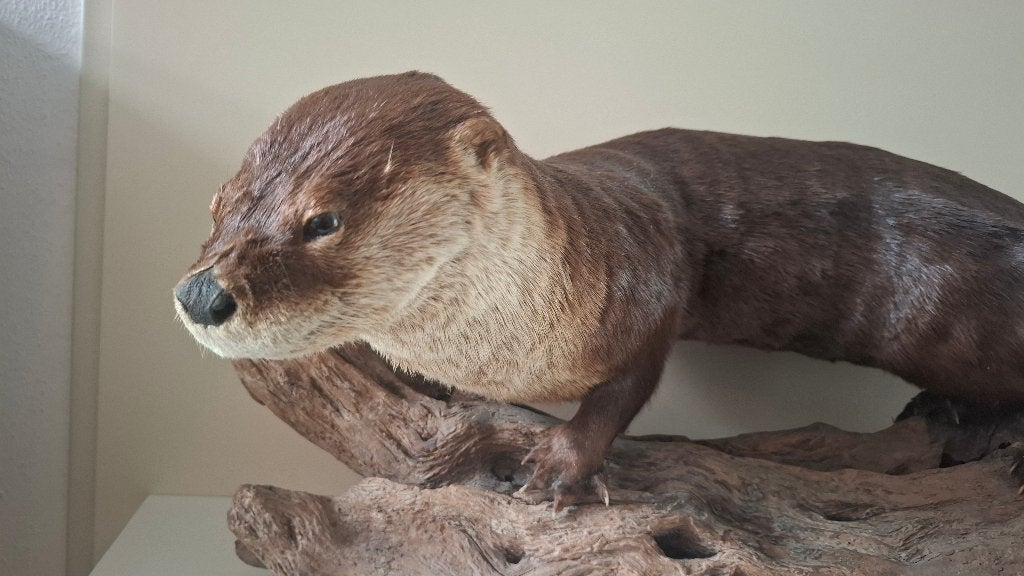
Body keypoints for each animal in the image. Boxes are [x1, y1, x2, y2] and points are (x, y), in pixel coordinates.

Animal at [176, 71, 1024, 510]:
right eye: (218, 205)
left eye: (321, 220)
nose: (201, 296)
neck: (499, 346)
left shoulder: (644, 286)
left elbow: (628, 387)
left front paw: (559, 463)